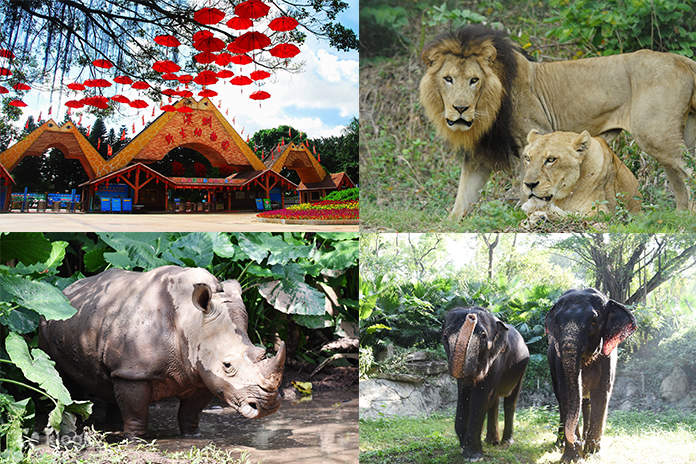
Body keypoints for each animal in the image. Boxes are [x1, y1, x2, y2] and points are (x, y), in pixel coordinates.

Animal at [38, 266, 286, 436]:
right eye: (227, 366)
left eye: (261, 353)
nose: (267, 407)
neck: (192, 322)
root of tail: (67, 288)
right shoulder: (135, 371)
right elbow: (136, 410)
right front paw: (134, 439)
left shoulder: (203, 373)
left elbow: (191, 411)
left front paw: (192, 435)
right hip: (47, 323)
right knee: (61, 379)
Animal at [418, 24, 696, 220]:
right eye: (448, 79)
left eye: (474, 80)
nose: (460, 108)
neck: (488, 109)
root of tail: (683, 60)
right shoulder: (479, 156)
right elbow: (462, 199)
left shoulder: (533, 138)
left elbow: (529, 189)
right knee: (679, 181)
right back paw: (680, 216)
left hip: (656, 136)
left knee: (688, 172)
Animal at [444, 304, 532, 460]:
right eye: (444, 337)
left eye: (484, 336)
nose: (471, 316)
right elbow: (464, 393)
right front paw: (463, 448)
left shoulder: (497, 360)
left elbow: (480, 397)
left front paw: (473, 456)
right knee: (494, 400)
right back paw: (492, 442)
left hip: (522, 368)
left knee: (510, 401)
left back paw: (506, 443)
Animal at [548, 288, 640, 462]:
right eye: (556, 322)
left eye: (593, 322)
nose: (576, 441)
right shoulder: (558, 360)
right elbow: (566, 395)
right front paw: (571, 457)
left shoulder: (608, 359)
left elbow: (601, 395)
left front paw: (592, 455)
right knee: (562, 399)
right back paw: (560, 444)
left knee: (586, 401)